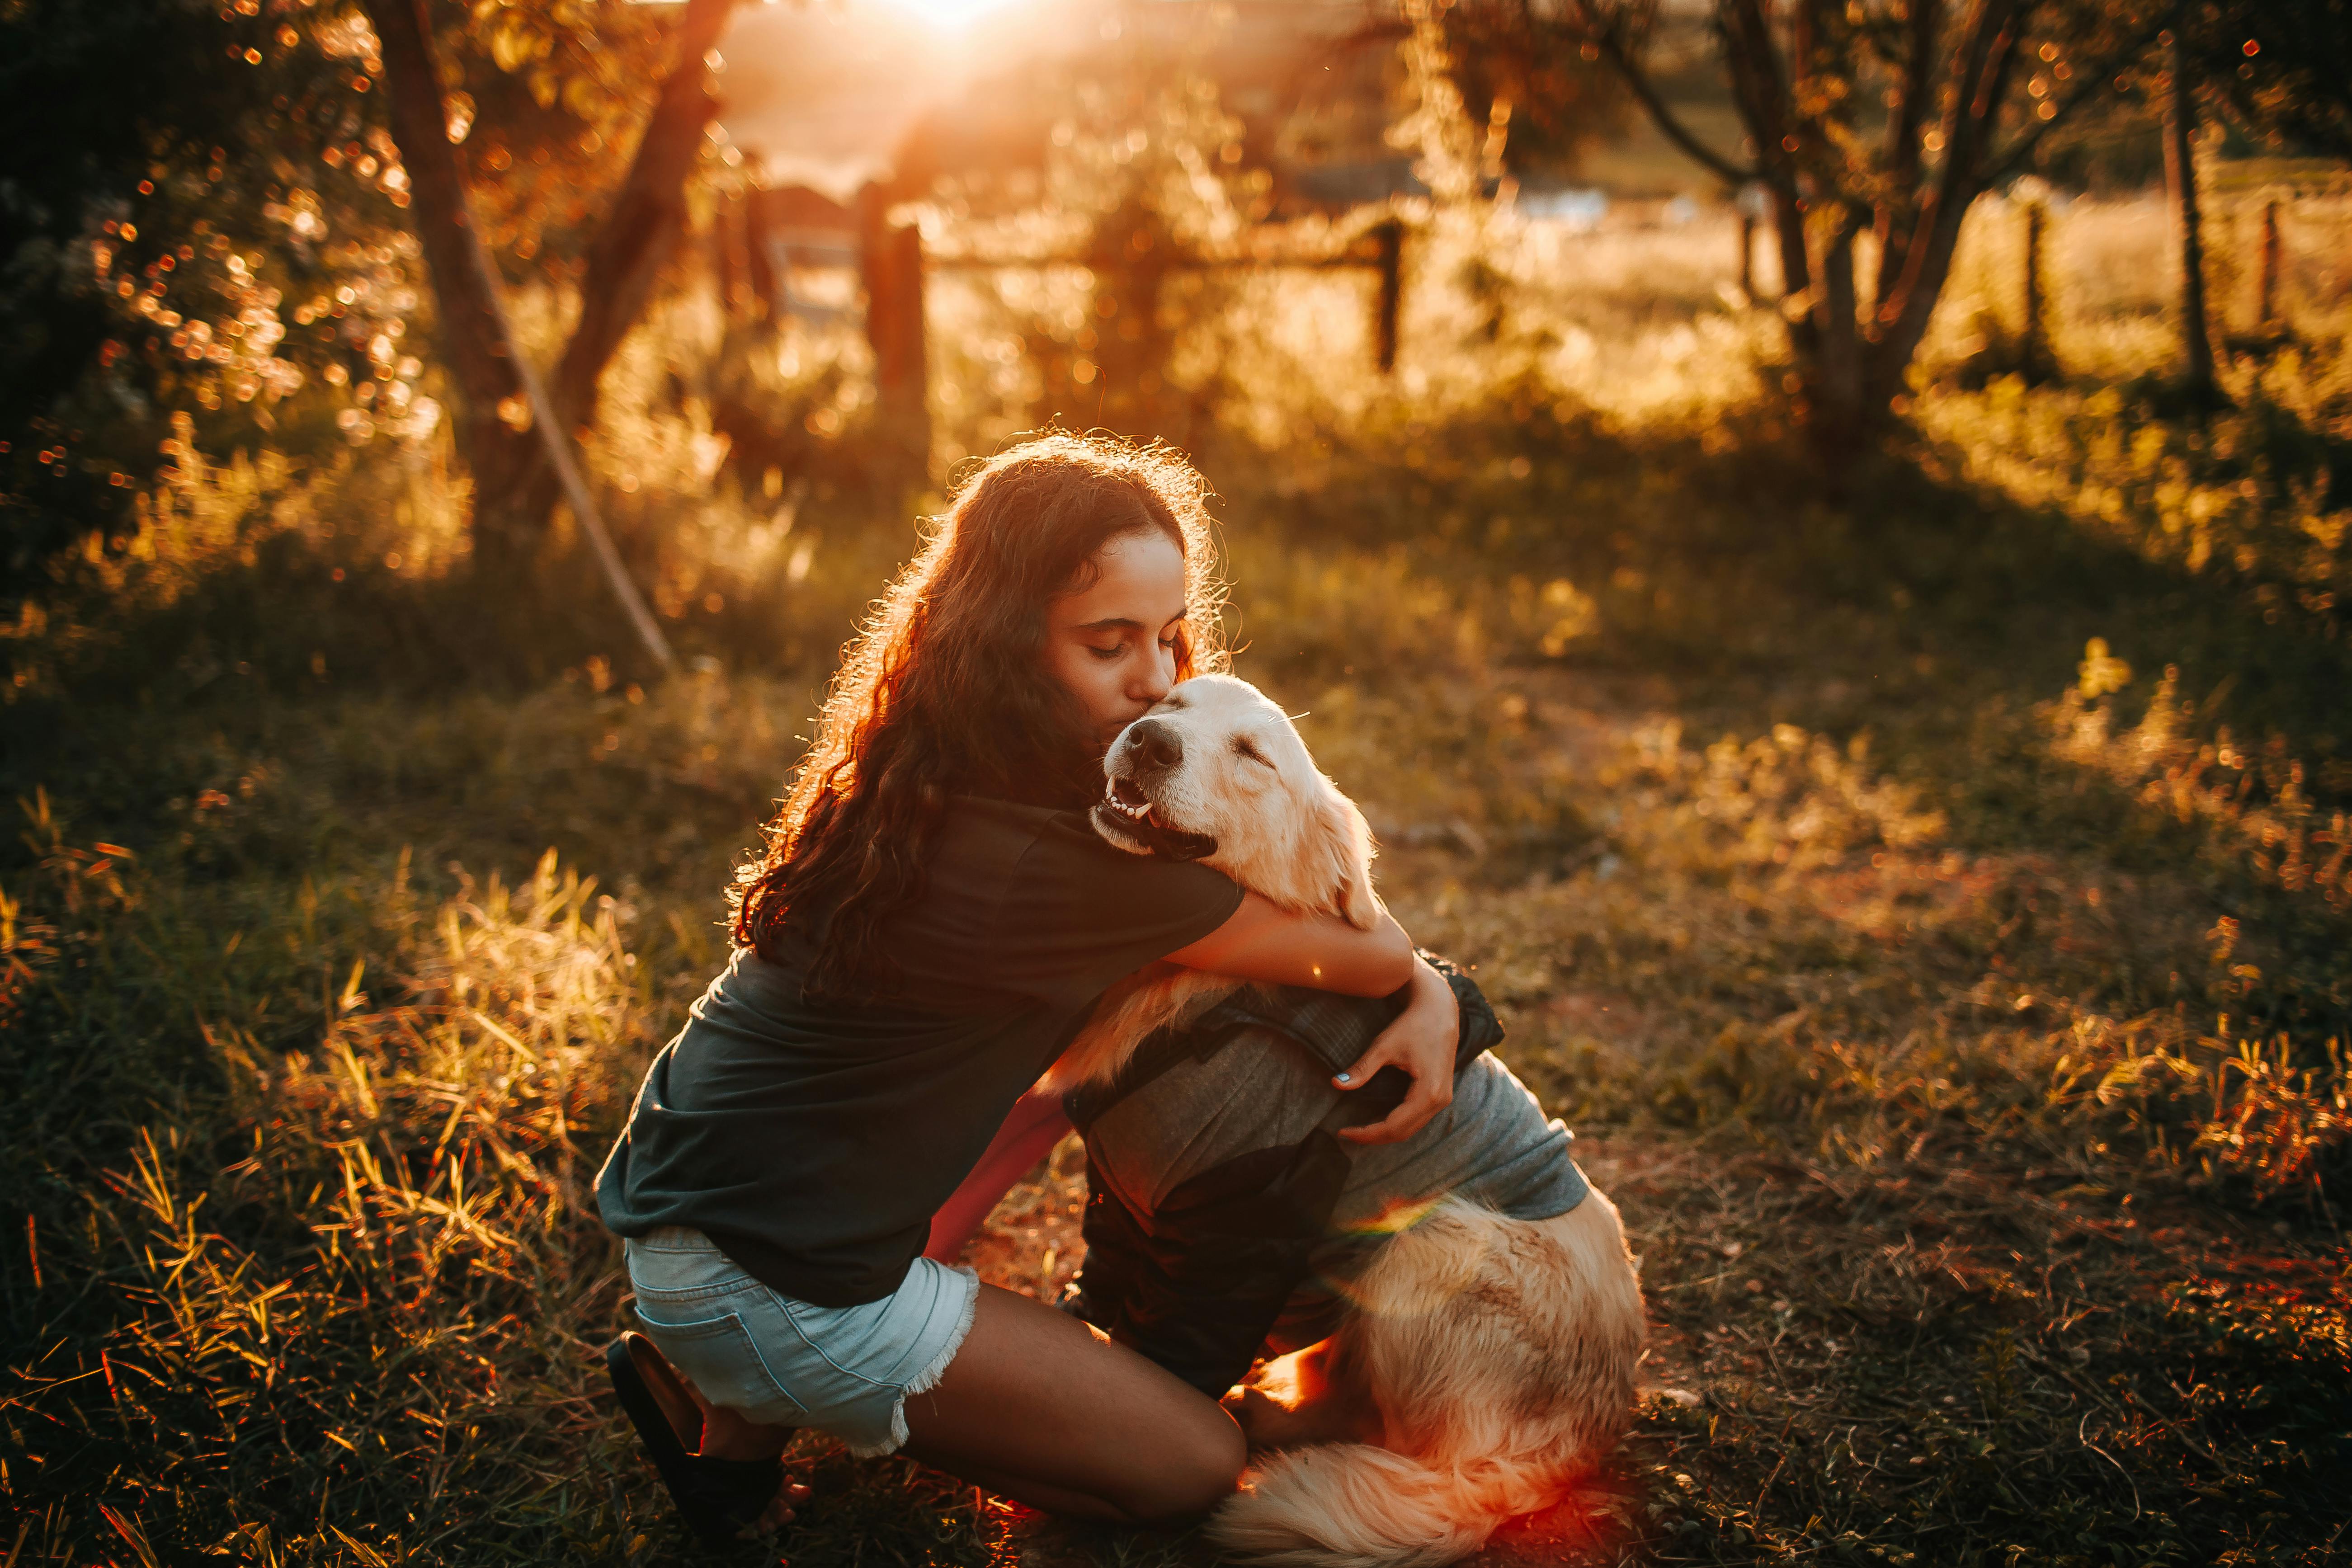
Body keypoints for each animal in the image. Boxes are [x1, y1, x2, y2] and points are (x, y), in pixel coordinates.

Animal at [1049, 677, 1637, 1568]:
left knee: (1390, 1436)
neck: (1204, 996)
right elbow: (1105, 1283)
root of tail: (1557, 1455)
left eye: (1252, 755)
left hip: (1432, 1242)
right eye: (1174, 703)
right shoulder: (1122, 1196)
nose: (1149, 740)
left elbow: (1167, 1351)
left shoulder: (1231, 1227)